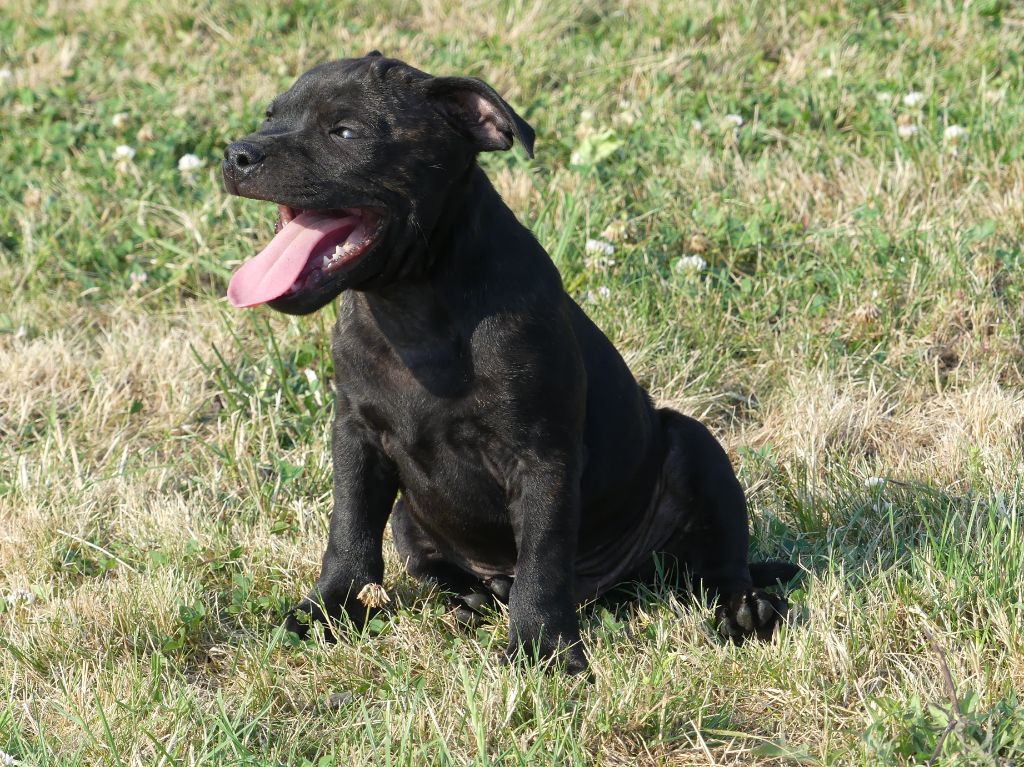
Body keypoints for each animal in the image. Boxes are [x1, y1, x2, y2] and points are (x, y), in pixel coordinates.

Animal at [222, 50, 798, 671]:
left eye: (345, 132)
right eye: (269, 117)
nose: (237, 153)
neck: (412, 308)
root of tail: (610, 589)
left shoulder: (541, 457)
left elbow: (543, 556)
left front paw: (540, 646)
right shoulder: (357, 436)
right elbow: (349, 528)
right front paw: (329, 609)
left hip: (696, 447)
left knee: (717, 562)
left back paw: (747, 609)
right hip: (412, 515)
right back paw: (468, 596)